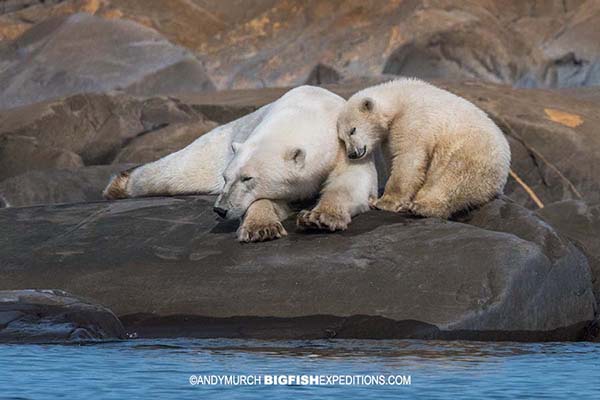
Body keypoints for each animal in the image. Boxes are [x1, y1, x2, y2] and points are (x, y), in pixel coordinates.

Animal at [102, 86, 376, 242]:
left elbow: (351, 181)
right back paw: (116, 186)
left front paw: (319, 218)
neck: (306, 113)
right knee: (177, 173)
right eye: (227, 177)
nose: (220, 210)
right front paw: (261, 228)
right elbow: (267, 201)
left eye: (248, 178)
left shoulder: (345, 145)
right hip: (220, 143)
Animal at [336, 78, 508, 219]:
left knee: (453, 179)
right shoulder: (390, 134)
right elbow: (394, 156)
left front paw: (385, 202)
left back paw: (421, 207)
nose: (352, 154)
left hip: (472, 152)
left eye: (352, 130)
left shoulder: (412, 120)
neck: (397, 99)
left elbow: (408, 159)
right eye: (342, 139)